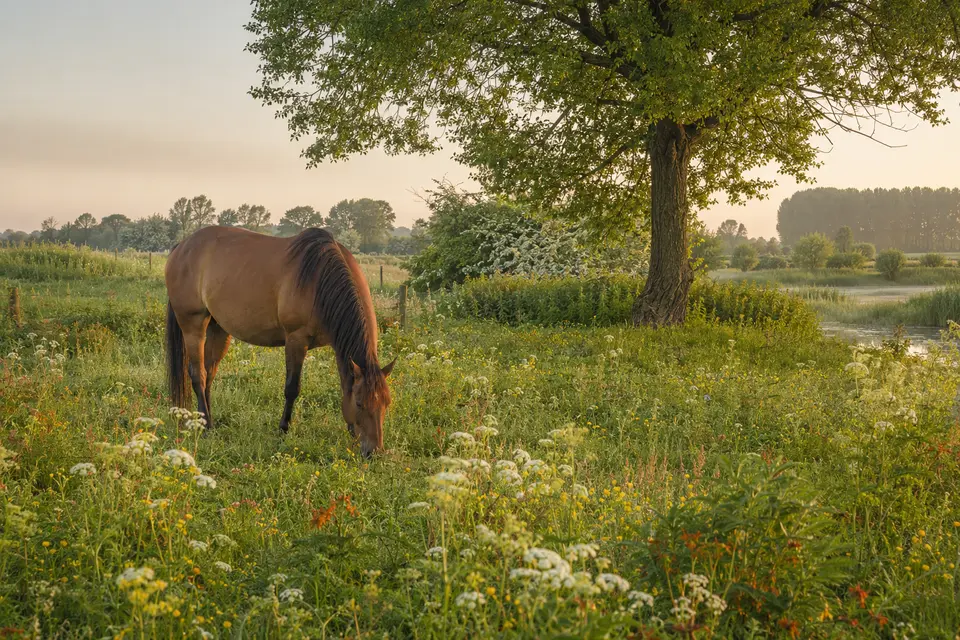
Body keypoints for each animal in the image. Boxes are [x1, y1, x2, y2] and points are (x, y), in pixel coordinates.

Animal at [163, 225, 395, 457]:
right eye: (359, 403)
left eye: (386, 403)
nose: (375, 451)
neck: (319, 279)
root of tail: (181, 246)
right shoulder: (295, 339)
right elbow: (292, 388)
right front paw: (283, 429)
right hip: (193, 325)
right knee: (198, 375)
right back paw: (205, 428)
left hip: (218, 328)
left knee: (209, 373)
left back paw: (208, 421)